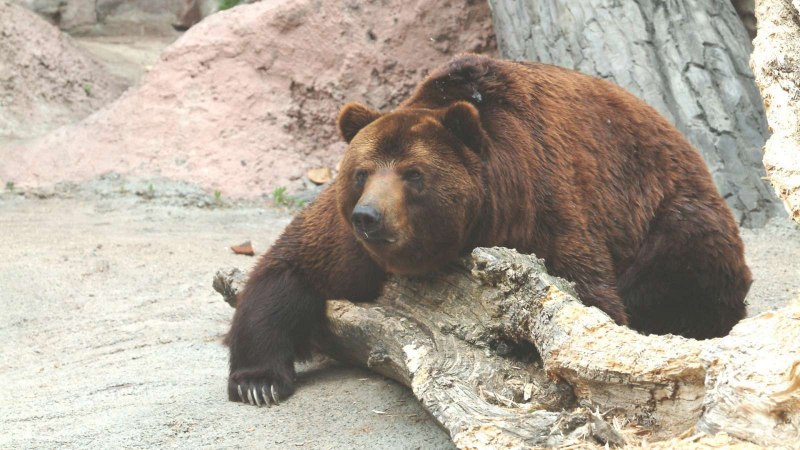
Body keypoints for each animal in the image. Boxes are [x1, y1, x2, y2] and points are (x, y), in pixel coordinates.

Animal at [225, 54, 751, 406]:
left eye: (414, 174)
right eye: (361, 172)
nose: (369, 217)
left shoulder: (541, 208)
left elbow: (586, 297)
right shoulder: (350, 245)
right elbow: (291, 269)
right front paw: (258, 382)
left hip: (671, 211)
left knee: (685, 263)